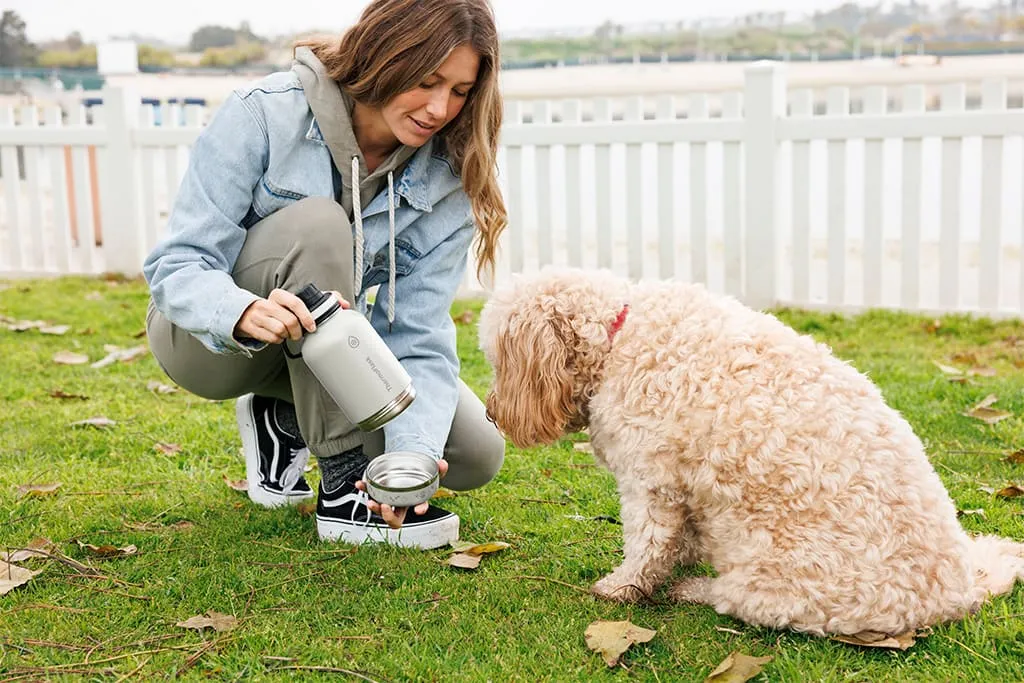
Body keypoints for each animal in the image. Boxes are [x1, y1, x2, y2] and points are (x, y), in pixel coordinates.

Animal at [479, 266, 1024, 634]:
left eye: (497, 360)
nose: (489, 412)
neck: (618, 337)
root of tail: (955, 592)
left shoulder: (650, 482)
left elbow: (647, 545)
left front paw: (622, 587)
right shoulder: (683, 487)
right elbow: (679, 538)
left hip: (771, 579)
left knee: (733, 599)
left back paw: (693, 590)